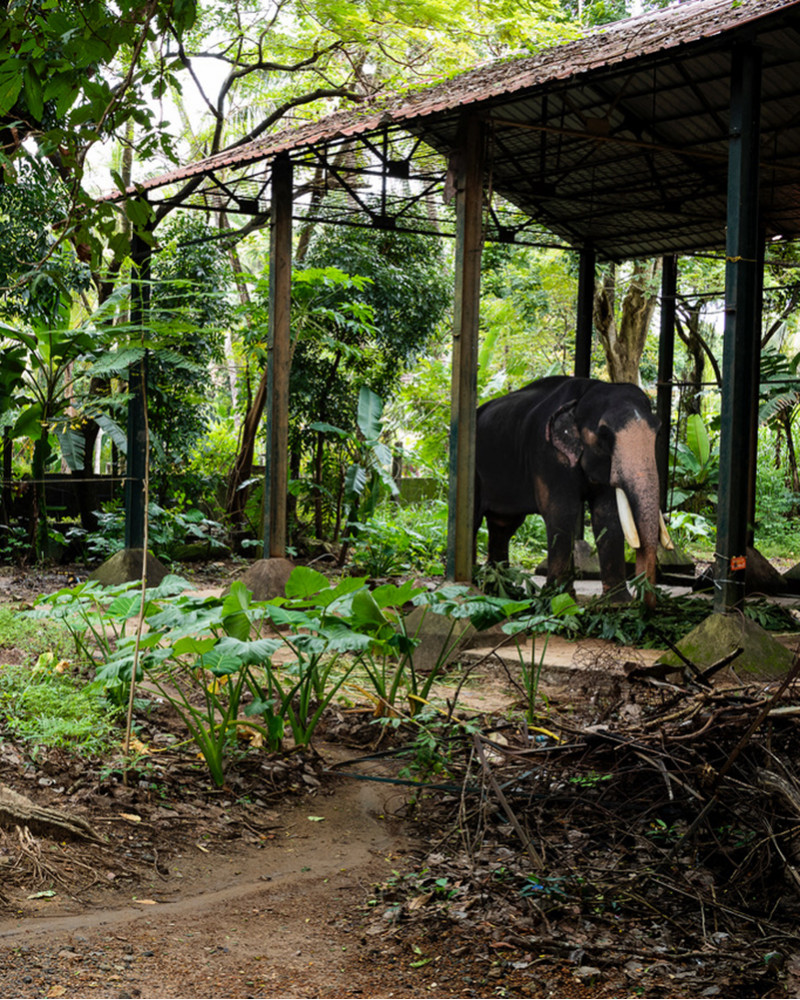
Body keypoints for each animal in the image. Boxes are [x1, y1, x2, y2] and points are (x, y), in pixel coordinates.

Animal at [476, 376, 668, 600]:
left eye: (658, 431)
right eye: (605, 434)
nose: (641, 598)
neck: (584, 393)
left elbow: (608, 515)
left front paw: (618, 602)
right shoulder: (548, 455)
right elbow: (562, 512)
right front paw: (558, 598)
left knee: (503, 525)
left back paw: (500, 592)